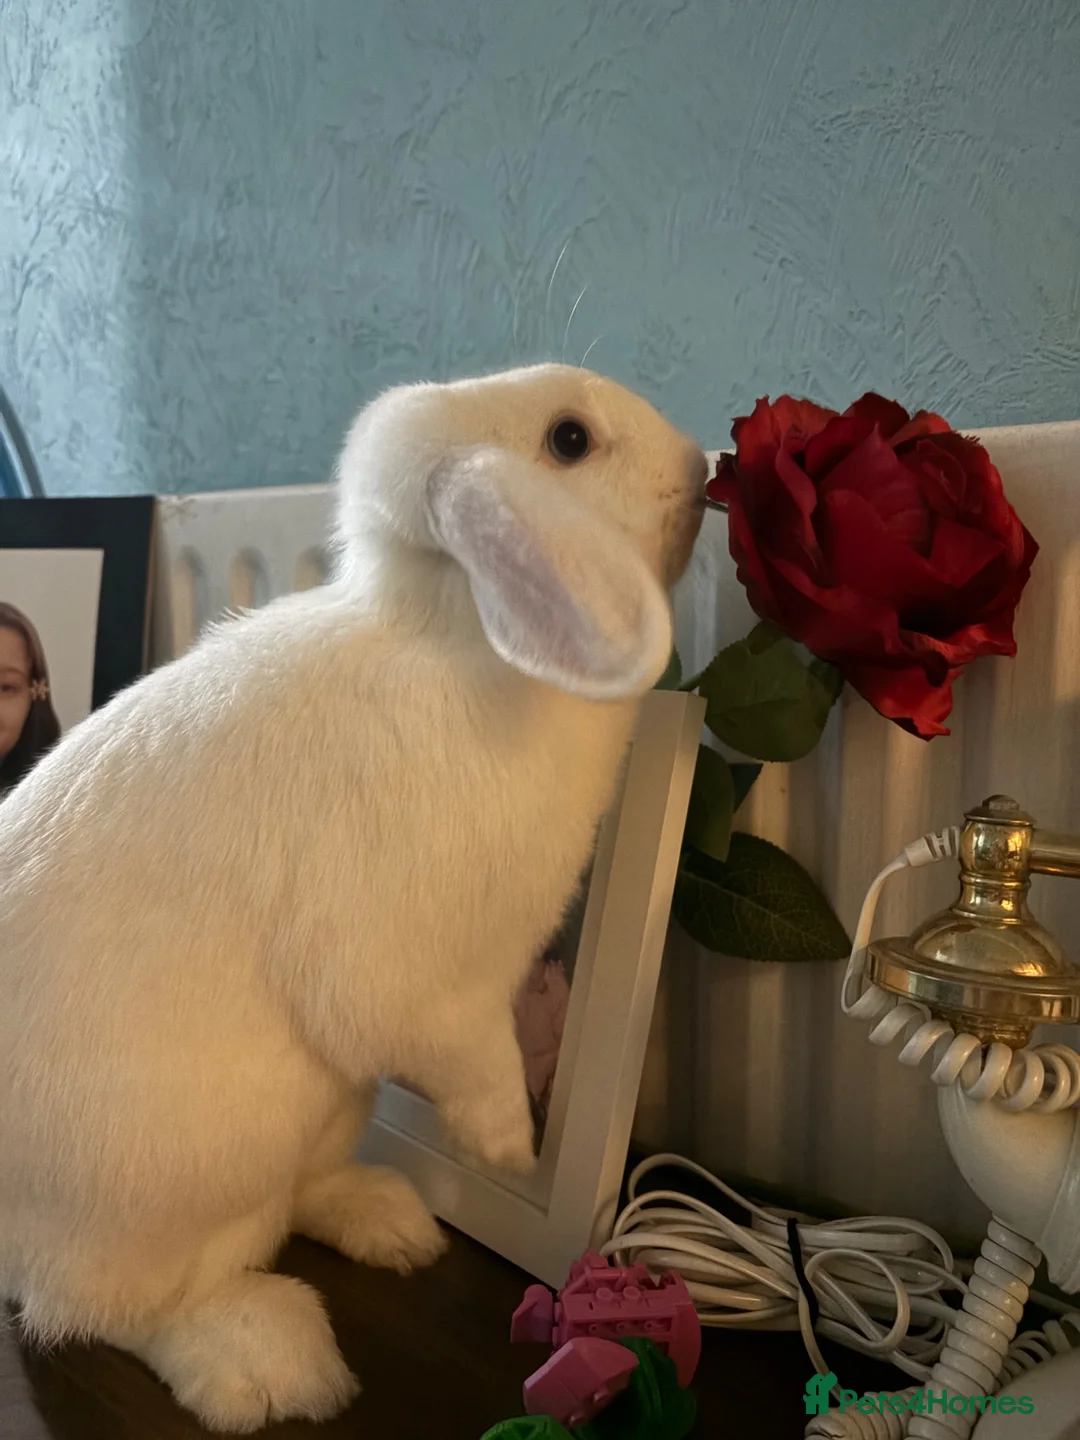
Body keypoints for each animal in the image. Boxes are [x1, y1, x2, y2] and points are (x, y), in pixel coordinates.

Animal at [0, 362, 707, 1433]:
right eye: (569, 440)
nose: (703, 471)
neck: (459, 640)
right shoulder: (421, 976)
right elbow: (460, 1046)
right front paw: (508, 1143)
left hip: (330, 1107)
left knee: (302, 1192)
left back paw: (392, 1225)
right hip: (159, 1190)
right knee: (106, 1308)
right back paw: (268, 1362)